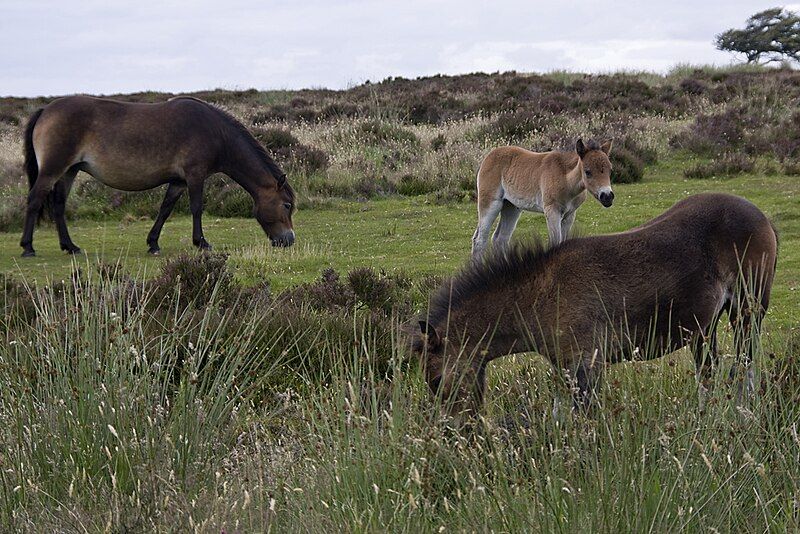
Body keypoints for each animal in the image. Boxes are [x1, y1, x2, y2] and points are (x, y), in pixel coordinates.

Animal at [22, 96, 296, 258]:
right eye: (286, 205)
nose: (289, 240)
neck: (216, 132)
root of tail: (45, 109)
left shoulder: (178, 181)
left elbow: (165, 209)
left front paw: (153, 243)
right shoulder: (195, 175)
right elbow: (197, 207)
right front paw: (201, 242)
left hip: (70, 170)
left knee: (59, 205)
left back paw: (70, 247)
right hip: (53, 169)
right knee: (35, 200)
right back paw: (28, 247)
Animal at [416, 195, 780, 420]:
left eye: (435, 379)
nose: (455, 429)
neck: (542, 293)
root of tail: (763, 217)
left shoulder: (586, 364)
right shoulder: (565, 367)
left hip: (746, 311)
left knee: (746, 366)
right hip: (704, 329)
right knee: (709, 375)